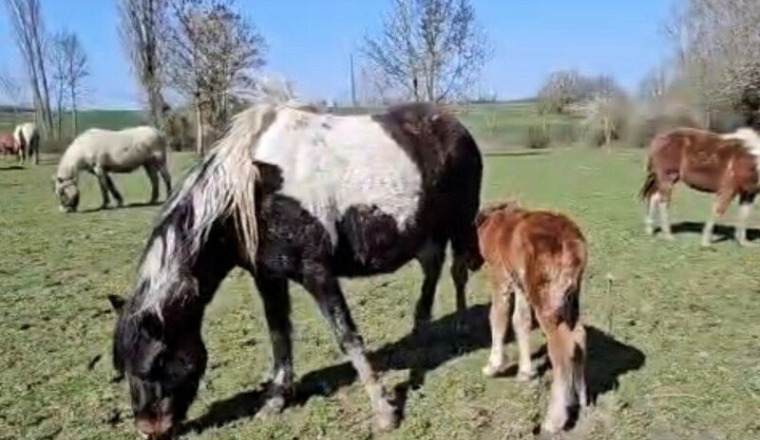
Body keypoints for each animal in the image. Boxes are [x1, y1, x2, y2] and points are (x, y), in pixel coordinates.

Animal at [107, 101, 484, 439]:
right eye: (123, 368)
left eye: (157, 361)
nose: (149, 430)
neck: (251, 190)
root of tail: (455, 126)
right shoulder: (268, 277)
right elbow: (279, 336)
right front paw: (276, 399)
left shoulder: (317, 273)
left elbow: (347, 337)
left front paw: (383, 411)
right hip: (426, 232)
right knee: (432, 267)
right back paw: (422, 328)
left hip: (460, 222)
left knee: (457, 270)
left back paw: (461, 324)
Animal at [475, 201, 587, 434]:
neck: (496, 221)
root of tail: (570, 242)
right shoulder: (520, 284)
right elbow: (520, 321)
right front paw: (526, 372)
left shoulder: (500, 276)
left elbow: (497, 317)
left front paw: (493, 365)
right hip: (570, 298)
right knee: (580, 334)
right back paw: (578, 398)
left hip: (547, 301)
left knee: (563, 348)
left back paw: (554, 420)